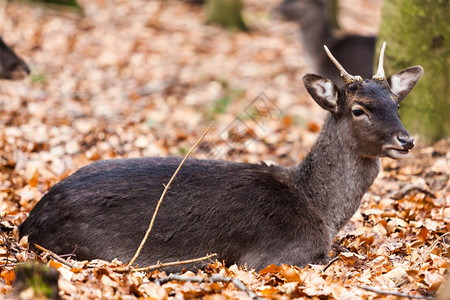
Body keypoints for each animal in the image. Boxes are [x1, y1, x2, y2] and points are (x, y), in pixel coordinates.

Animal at [19, 43, 424, 270]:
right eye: (359, 109)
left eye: (396, 104)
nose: (406, 139)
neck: (318, 207)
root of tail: (26, 223)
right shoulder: (273, 255)